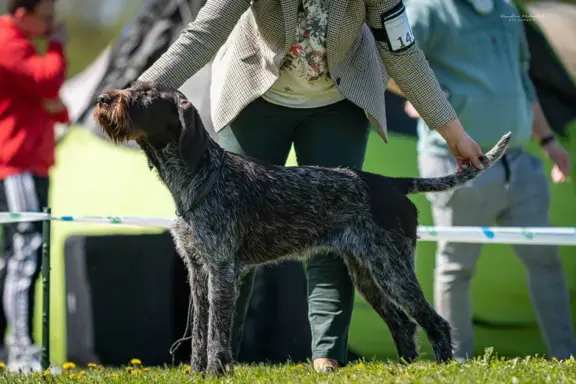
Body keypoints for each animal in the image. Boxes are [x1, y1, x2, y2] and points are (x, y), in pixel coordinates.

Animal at [94, 81, 512, 376]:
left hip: (392, 269)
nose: (102, 98)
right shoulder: (198, 270)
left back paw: (441, 368)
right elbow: (198, 333)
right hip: (367, 272)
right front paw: (197, 373)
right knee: (404, 325)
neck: (198, 178)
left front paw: (214, 372)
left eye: (147, 95)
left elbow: (215, 334)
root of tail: (392, 183)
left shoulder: (222, 270)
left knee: (436, 323)